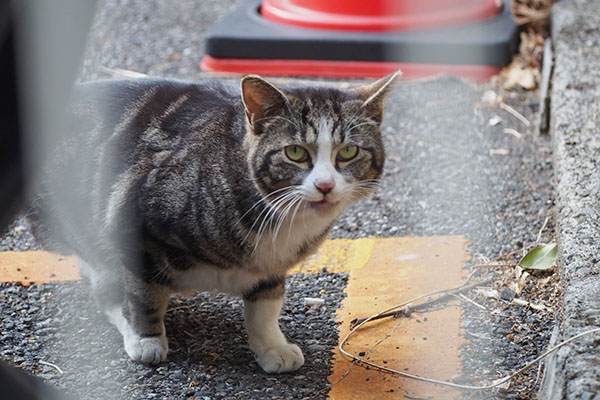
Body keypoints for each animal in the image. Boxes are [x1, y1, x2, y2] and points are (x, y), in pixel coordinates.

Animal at [30, 70, 400, 374]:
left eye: (348, 152)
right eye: (295, 153)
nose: (325, 186)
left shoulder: (270, 266)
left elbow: (266, 307)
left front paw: (272, 346)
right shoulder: (139, 225)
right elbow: (144, 293)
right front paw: (146, 338)